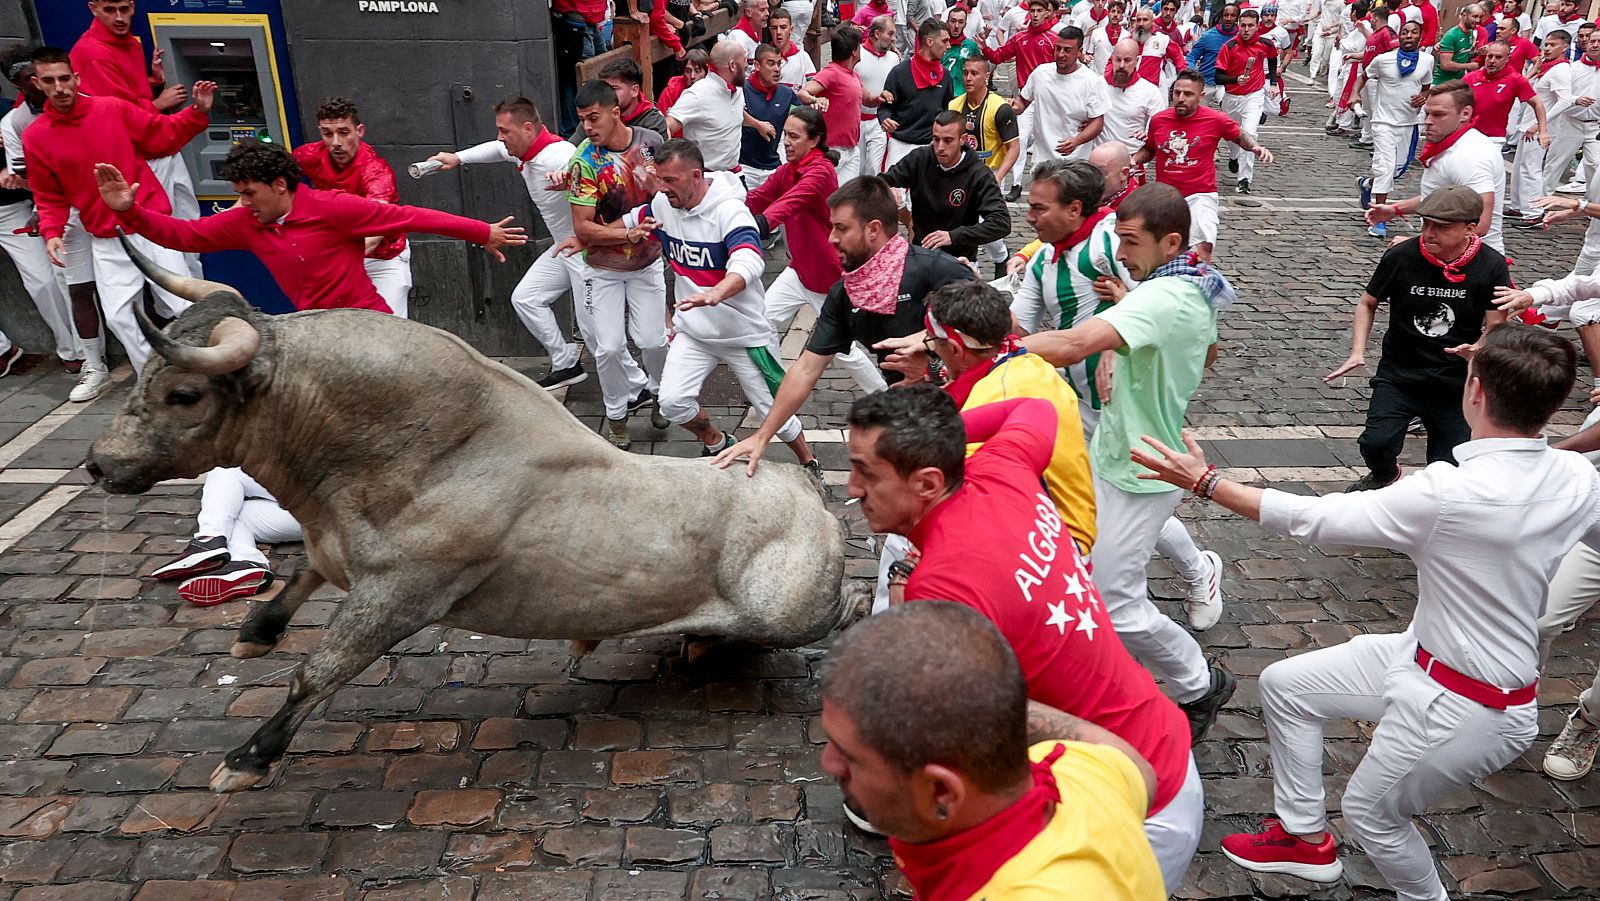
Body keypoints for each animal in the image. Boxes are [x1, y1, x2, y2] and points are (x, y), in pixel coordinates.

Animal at [90, 236, 864, 793]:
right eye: (148, 380)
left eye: (185, 394)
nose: (99, 463)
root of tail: (806, 492)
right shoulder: (338, 555)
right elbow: (299, 581)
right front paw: (255, 630)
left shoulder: (401, 594)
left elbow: (319, 669)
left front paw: (249, 756)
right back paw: (695, 641)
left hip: (786, 610)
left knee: (846, 606)